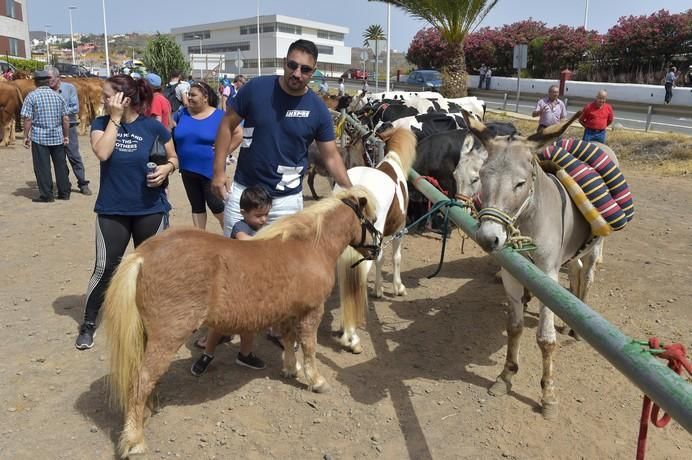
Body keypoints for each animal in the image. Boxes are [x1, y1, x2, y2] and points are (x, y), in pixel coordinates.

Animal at [104, 186, 382, 456]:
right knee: (141, 380)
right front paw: (316, 381)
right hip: (167, 337)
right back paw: (134, 440)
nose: (377, 249)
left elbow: (289, 339)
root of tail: (143, 255)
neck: (309, 247)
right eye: (373, 220)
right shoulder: (311, 311)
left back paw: (148, 410)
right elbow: (309, 346)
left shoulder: (290, 312)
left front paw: (291, 369)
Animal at [334, 127, 416, 354]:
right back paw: (351, 338)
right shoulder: (399, 230)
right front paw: (398, 288)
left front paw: (378, 290)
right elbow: (396, 258)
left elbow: (381, 260)